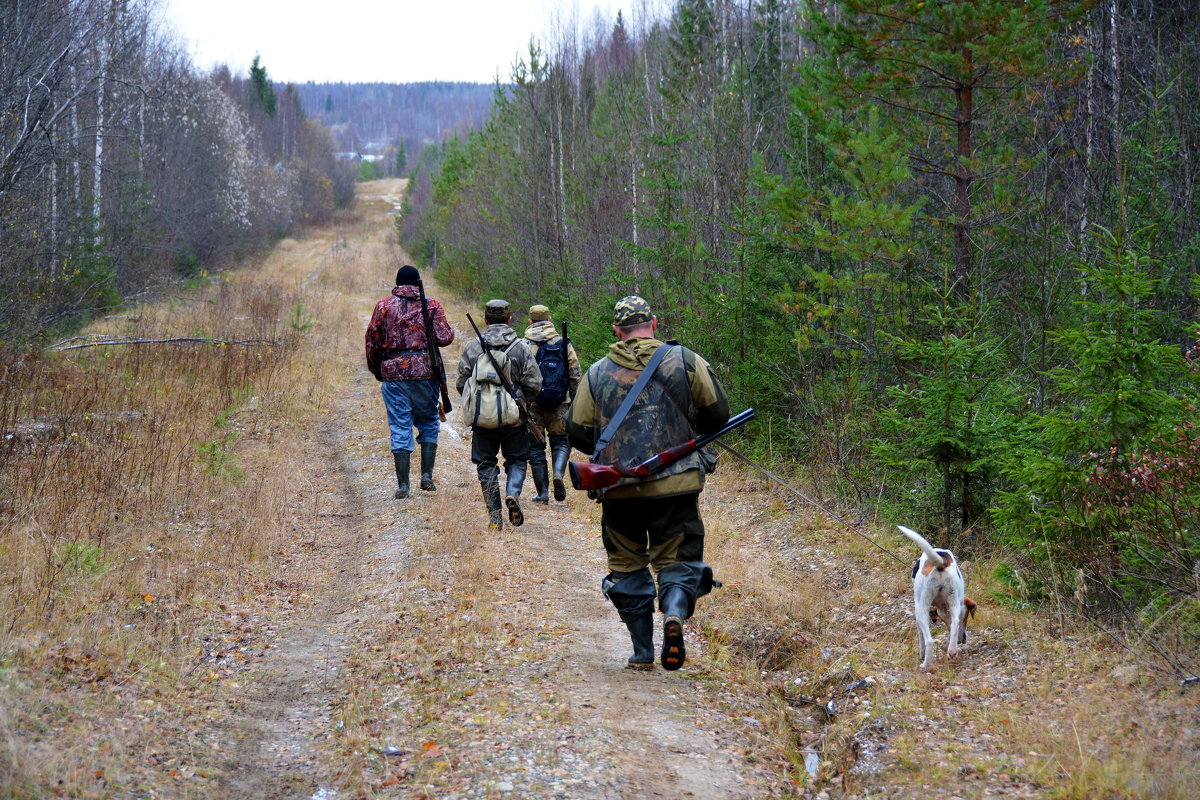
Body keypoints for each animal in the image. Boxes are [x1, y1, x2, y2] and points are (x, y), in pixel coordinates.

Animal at [902, 525, 974, 671]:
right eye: (966, 618)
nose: (963, 640)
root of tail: (941, 562)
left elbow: (921, 638)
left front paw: (921, 654)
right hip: (954, 603)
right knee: (954, 625)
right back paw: (952, 651)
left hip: (921, 607)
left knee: (929, 640)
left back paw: (925, 664)